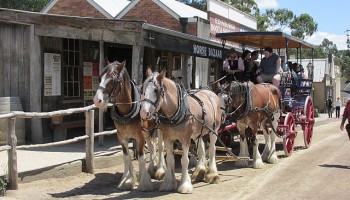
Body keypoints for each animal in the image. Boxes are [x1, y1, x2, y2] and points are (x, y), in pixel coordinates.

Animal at [92, 60, 165, 191]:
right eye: (100, 77)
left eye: (113, 78)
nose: (97, 100)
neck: (127, 111)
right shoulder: (122, 136)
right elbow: (126, 157)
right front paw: (127, 180)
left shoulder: (139, 137)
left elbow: (141, 157)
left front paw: (144, 183)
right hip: (148, 130)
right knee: (151, 146)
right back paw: (151, 169)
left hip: (159, 128)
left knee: (160, 146)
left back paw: (160, 170)